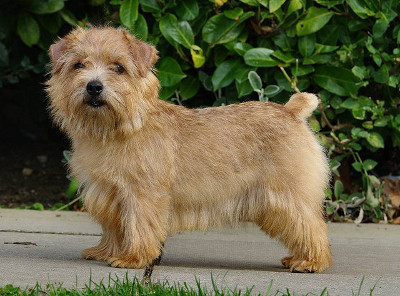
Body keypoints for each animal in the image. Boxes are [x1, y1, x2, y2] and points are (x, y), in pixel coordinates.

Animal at [45, 27, 332, 272]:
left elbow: (138, 225)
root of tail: (291, 111)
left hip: (288, 195)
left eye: (118, 67)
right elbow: (114, 228)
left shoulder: (142, 194)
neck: (116, 130)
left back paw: (311, 261)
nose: (94, 86)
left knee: (311, 224)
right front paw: (105, 251)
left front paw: (133, 258)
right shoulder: (108, 193)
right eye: (78, 65)